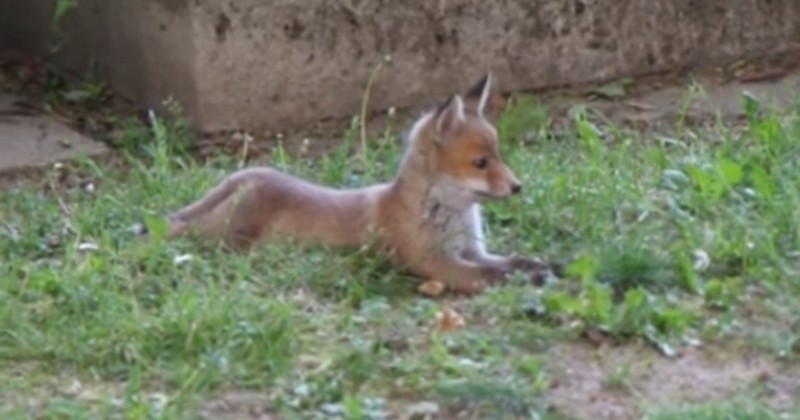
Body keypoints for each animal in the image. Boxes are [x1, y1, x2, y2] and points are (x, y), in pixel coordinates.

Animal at [162, 73, 552, 296]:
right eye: (481, 163)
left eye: (499, 155)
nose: (518, 187)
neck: (453, 217)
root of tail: (248, 174)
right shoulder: (435, 263)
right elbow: (494, 275)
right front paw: (533, 281)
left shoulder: (473, 251)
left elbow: (514, 261)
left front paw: (544, 266)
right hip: (225, 240)